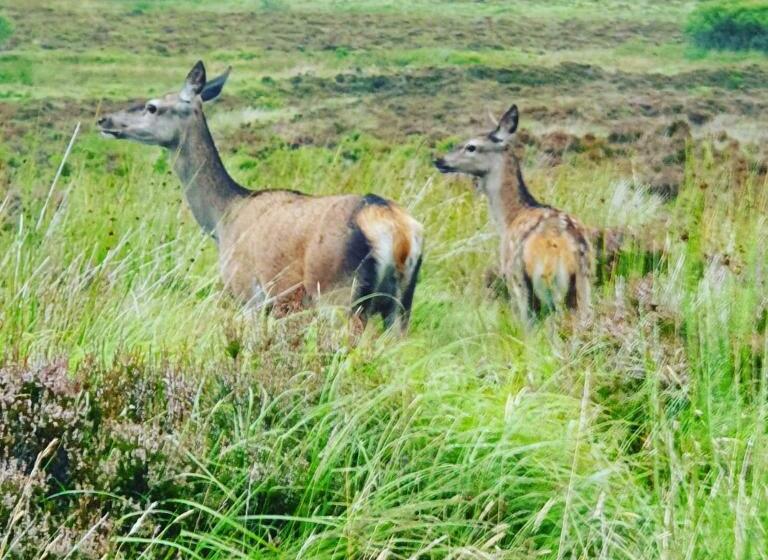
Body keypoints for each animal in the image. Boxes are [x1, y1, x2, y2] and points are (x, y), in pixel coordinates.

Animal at [97, 61, 424, 331]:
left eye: (152, 106)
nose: (104, 120)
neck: (222, 221)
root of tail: (398, 234)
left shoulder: (248, 294)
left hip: (338, 295)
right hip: (401, 304)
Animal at [433, 104, 593, 322]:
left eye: (471, 146)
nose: (439, 160)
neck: (508, 219)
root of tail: (571, 248)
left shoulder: (513, 277)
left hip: (546, 281)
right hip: (585, 284)